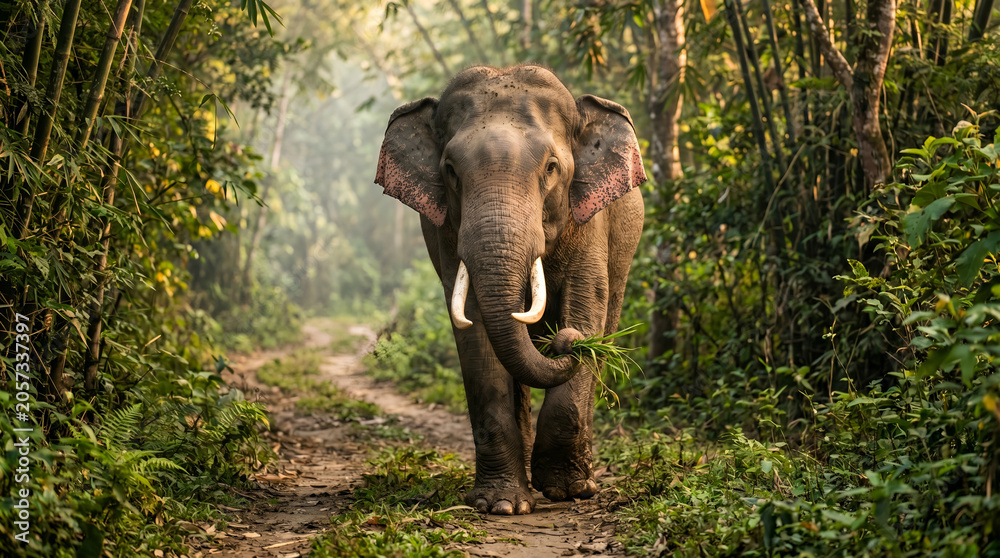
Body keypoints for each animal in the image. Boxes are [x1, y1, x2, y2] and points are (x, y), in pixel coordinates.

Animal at [374, 64, 645, 515]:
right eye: (451, 170)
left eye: (551, 167)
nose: (564, 341)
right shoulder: (447, 233)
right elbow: (475, 329)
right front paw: (500, 505)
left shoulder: (591, 221)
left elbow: (586, 307)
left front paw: (565, 490)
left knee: (605, 329)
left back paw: (583, 481)